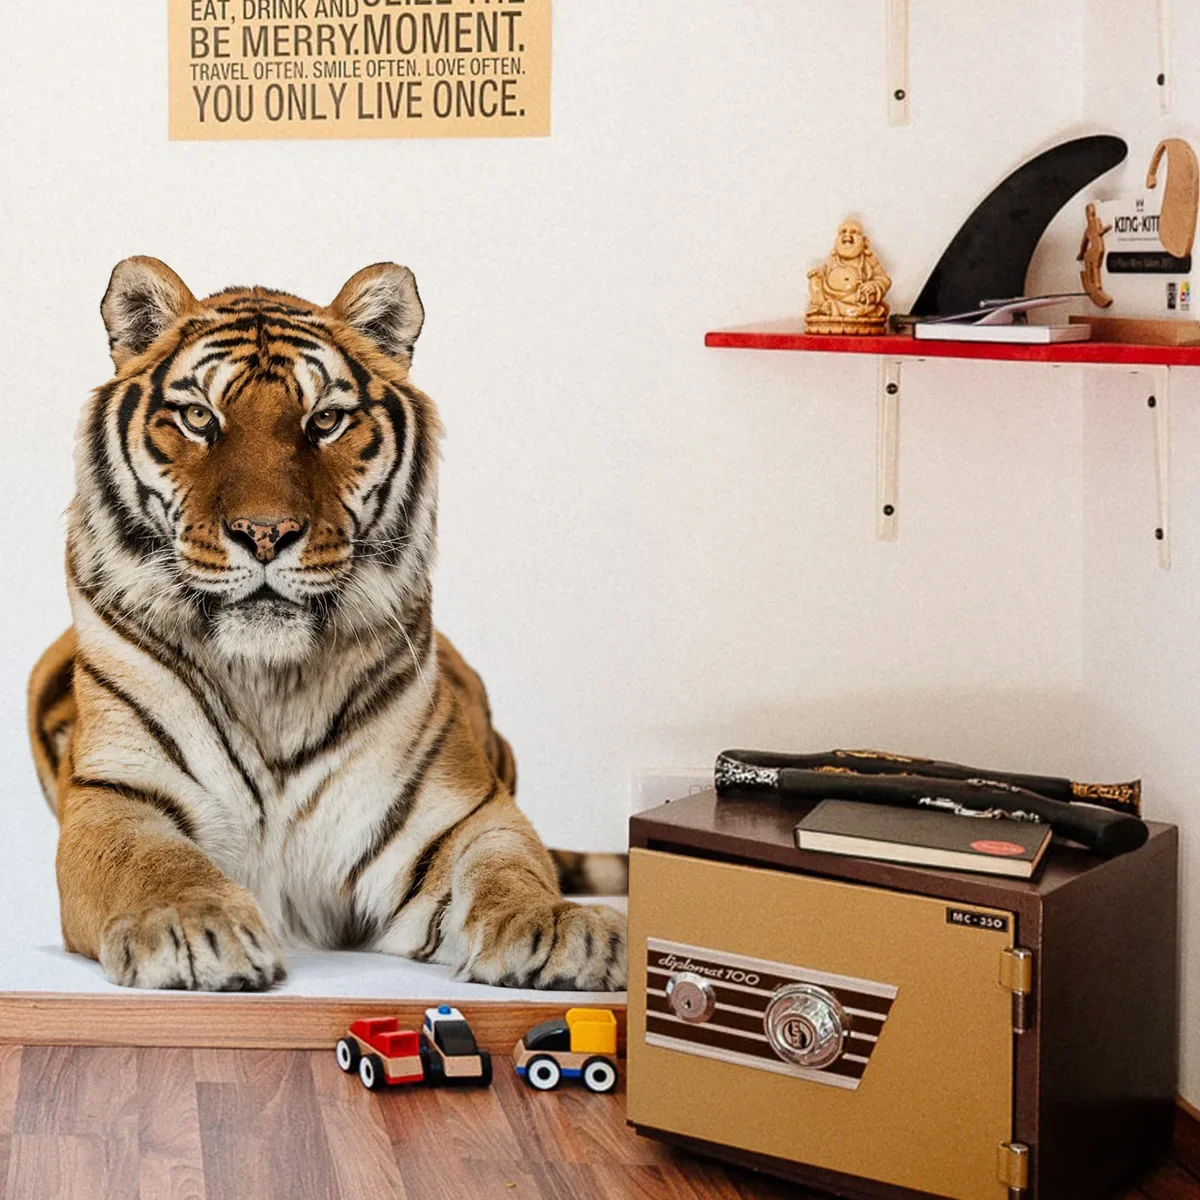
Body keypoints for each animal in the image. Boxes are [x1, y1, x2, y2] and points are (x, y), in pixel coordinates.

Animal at [26, 257, 627, 993]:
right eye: (199, 417)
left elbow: (509, 865)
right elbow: (152, 862)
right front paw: (192, 929)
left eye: (327, 420)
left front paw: (560, 927)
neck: (270, 684)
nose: (265, 532)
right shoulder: (118, 795)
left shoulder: (459, 814)